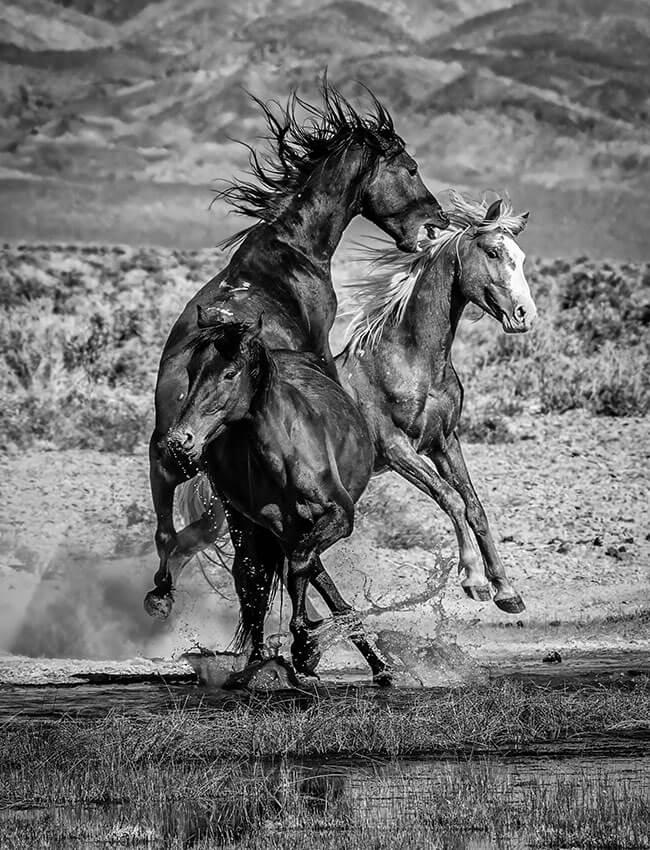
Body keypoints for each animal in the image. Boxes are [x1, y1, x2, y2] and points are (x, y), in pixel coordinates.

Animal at [144, 81, 448, 625]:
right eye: (411, 168)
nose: (436, 221)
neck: (291, 250)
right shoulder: (321, 345)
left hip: (165, 460)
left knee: (168, 533)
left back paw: (162, 592)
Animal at [167, 307, 392, 683]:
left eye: (229, 373)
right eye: (191, 370)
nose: (180, 439)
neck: (284, 454)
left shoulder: (339, 516)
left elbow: (300, 566)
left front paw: (305, 645)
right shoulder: (276, 526)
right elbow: (275, 577)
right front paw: (292, 650)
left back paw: (376, 664)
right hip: (244, 523)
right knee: (256, 582)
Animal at [336, 190, 536, 612]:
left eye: (522, 256)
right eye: (493, 251)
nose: (525, 315)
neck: (409, 360)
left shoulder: (444, 442)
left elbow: (474, 508)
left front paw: (506, 590)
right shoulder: (396, 449)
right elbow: (450, 499)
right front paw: (473, 579)